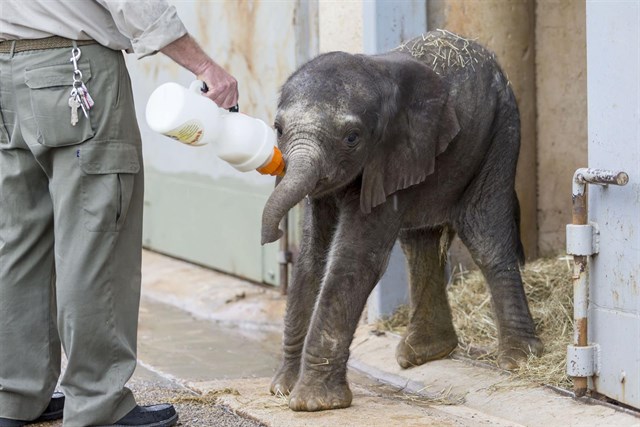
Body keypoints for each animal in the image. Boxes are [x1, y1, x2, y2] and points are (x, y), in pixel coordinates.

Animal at [260, 30, 543, 412]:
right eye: (278, 129)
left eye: (352, 138)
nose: (272, 235)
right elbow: (311, 258)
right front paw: (282, 389)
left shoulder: (389, 155)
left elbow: (354, 259)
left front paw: (313, 404)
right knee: (419, 241)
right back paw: (425, 353)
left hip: (501, 129)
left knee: (486, 235)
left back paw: (518, 360)